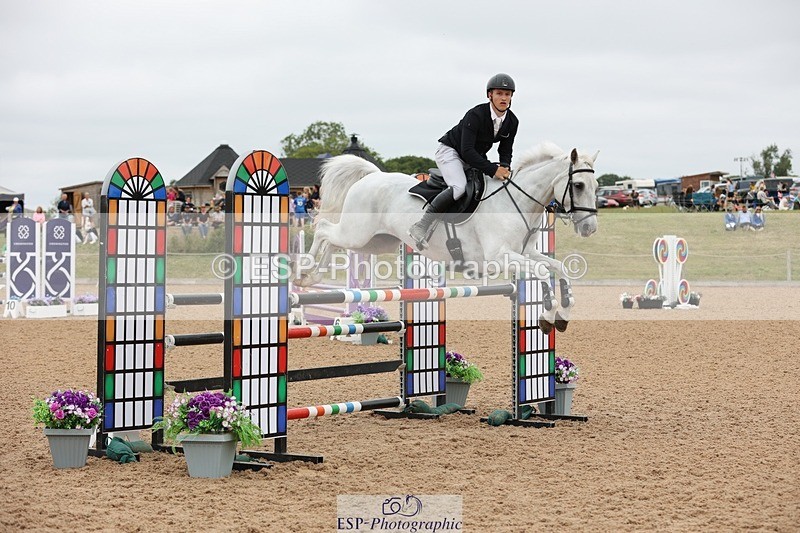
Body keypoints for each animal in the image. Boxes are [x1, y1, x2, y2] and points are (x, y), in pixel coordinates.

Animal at [295, 142, 599, 333]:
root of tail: (371, 176)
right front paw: (547, 316)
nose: (590, 229)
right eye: (578, 185)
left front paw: (563, 315)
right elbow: (542, 272)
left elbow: (558, 268)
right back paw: (303, 273)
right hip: (357, 234)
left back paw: (311, 277)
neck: (516, 202)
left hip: (375, 241)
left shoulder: (525, 254)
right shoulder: (499, 259)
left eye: (596, 186)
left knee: (331, 239)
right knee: (323, 228)